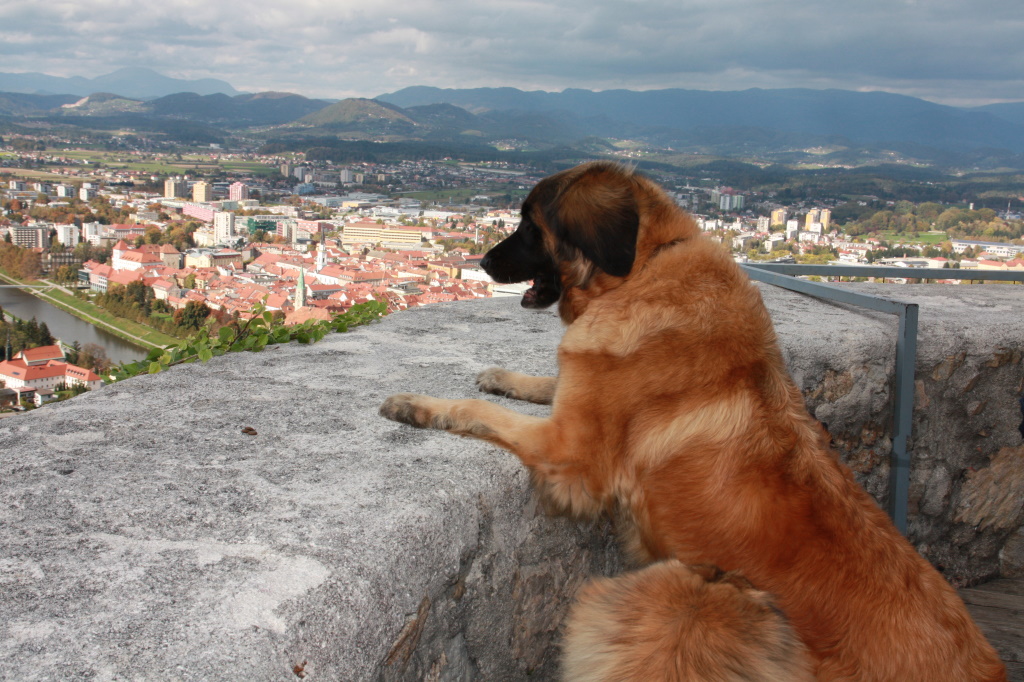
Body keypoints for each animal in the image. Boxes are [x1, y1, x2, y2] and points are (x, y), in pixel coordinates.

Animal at [378, 161, 1007, 675]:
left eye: (531, 226)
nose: (482, 260)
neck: (640, 272)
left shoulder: (572, 452)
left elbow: (477, 411)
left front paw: (414, 405)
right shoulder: (580, 396)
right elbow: (543, 383)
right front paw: (501, 376)